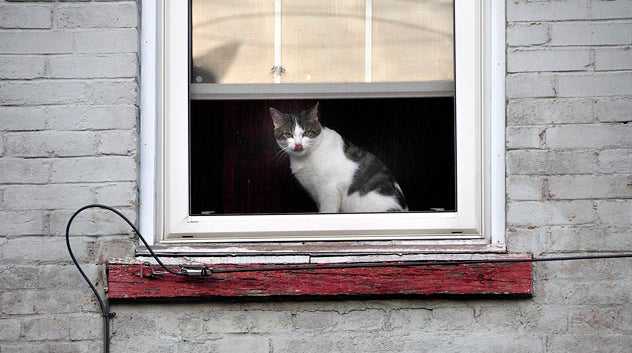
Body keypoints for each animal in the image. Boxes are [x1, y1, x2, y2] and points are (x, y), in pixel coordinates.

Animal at [270, 102, 408, 212]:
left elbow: (327, 210)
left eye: (307, 133)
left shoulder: (329, 190)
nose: (298, 145)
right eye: (288, 134)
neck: (306, 157)